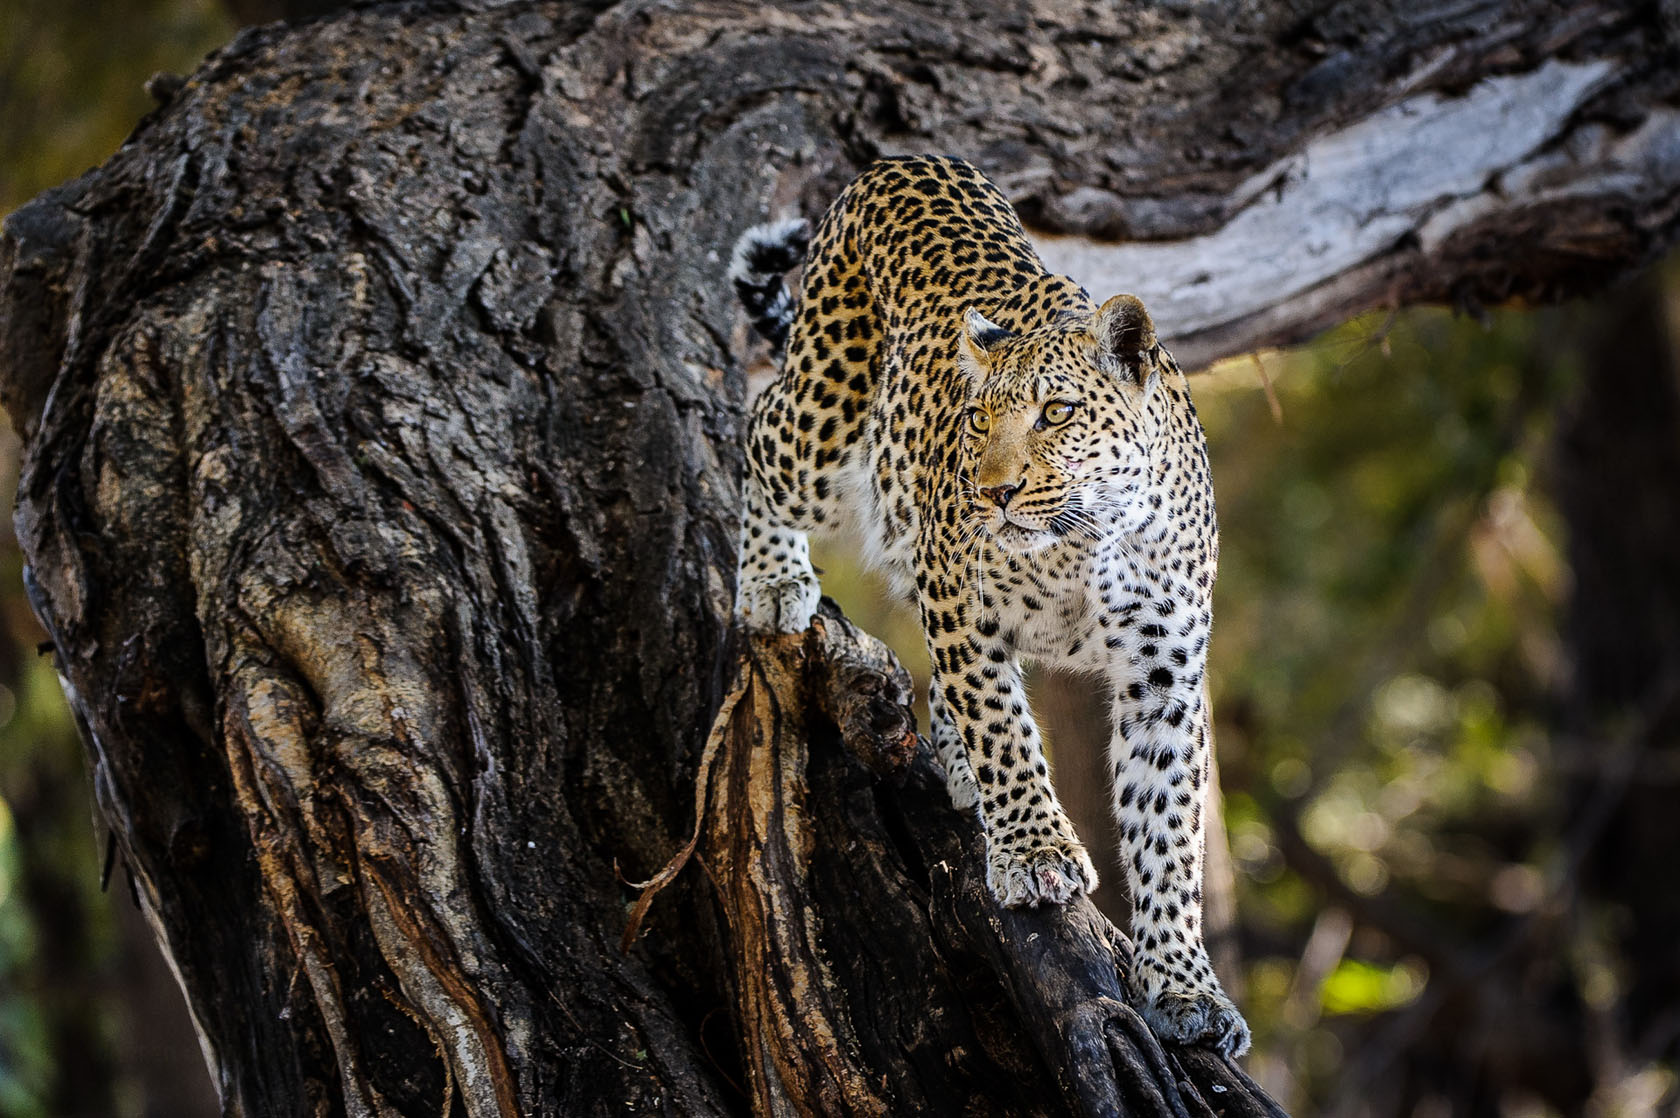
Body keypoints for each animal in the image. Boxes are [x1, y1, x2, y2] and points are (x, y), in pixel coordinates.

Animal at [728, 155, 1249, 1057]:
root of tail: (898, 161)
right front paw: (1037, 852)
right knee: (762, 429)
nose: (992, 493)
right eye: (978, 419)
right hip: (823, 425)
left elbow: (1166, 826)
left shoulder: (1166, 673)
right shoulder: (961, 606)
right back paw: (771, 580)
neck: (1089, 536)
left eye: (1058, 413)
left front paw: (1186, 985)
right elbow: (1005, 730)